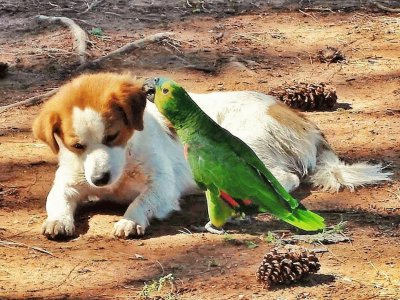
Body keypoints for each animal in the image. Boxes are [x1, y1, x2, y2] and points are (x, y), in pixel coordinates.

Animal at [33, 72, 390, 239]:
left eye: (112, 137)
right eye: (77, 146)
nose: (100, 179)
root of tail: (298, 116)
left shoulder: (162, 188)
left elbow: (140, 203)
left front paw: (129, 221)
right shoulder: (68, 183)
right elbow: (56, 200)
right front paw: (58, 220)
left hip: (245, 146)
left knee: (283, 179)